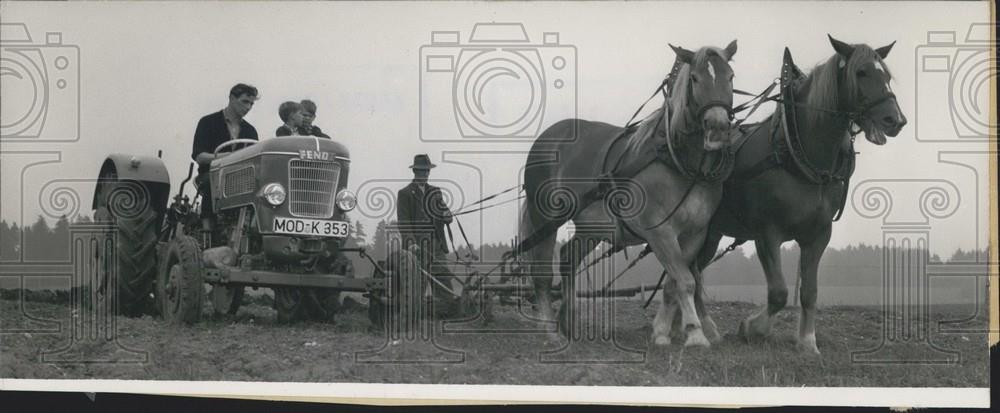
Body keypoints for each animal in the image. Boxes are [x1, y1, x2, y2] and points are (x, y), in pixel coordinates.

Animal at [520, 41, 740, 348]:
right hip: (544, 217)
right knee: (541, 272)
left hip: (592, 226)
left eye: (730, 76)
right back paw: (550, 330)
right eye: (695, 79)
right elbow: (685, 281)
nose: (718, 127)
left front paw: (662, 333)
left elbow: (674, 282)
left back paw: (570, 322)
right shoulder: (660, 232)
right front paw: (695, 334)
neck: (677, 162)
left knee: (568, 258)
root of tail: (547, 136)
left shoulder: (695, 233)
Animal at [680, 33, 908, 352]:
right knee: (693, 272)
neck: (795, 153)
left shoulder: (819, 234)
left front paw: (808, 342)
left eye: (886, 75)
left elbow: (809, 291)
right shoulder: (767, 233)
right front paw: (752, 328)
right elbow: (778, 292)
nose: (895, 120)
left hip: (711, 233)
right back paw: (708, 329)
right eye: (861, 73)